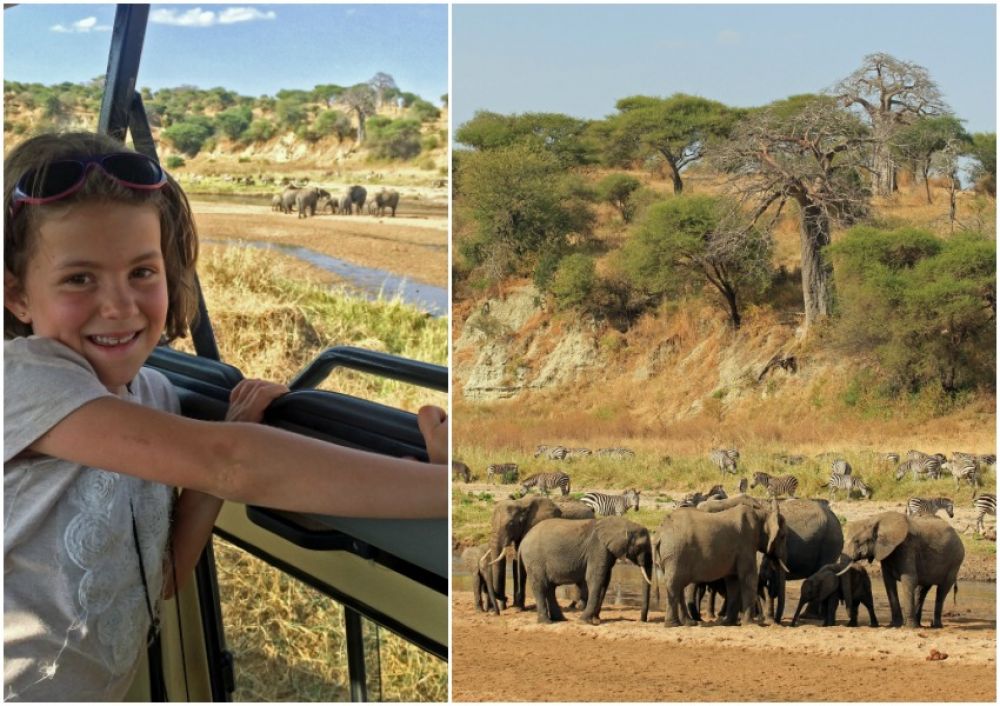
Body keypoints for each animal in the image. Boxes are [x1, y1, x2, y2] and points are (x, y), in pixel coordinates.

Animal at [516, 516, 656, 620]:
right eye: (640, 546)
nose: (642, 620)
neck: (624, 523)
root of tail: (522, 542)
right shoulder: (597, 548)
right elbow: (595, 578)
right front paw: (585, 620)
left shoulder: (607, 551)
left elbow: (605, 580)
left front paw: (596, 619)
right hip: (534, 559)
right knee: (541, 586)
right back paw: (546, 622)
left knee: (550, 588)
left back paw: (560, 620)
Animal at [656, 498, 788, 624]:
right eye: (782, 536)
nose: (777, 622)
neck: (762, 514)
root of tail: (660, 533)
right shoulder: (746, 543)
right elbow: (748, 577)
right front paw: (749, 623)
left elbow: (733, 581)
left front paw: (728, 622)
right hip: (675, 554)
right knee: (674, 584)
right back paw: (673, 624)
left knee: (678, 585)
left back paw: (689, 623)